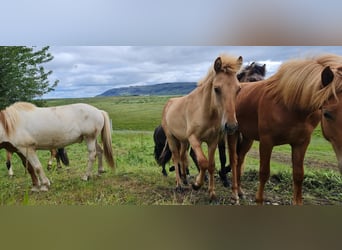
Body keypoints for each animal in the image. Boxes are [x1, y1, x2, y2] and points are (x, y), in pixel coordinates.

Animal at [162, 54, 242, 199]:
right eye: (216, 89)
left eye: (238, 89)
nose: (231, 126)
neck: (205, 111)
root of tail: (168, 103)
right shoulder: (194, 139)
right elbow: (203, 162)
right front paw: (197, 184)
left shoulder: (213, 141)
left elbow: (211, 164)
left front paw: (212, 193)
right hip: (171, 138)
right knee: (175, 157)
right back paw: (179, 185)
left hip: (183, 141)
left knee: (182, 156)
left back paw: (185, 179)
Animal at [227, 54, 342, 205]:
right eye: (327, 114)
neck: (290, 104)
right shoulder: (266, 142)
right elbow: (264, 173)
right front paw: (259, 200)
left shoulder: (301, 143)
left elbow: (298, 175)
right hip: (233, 133)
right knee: (234, 160)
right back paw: (234, 194)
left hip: (248, 137)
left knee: (240, 159)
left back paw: (240, 191)